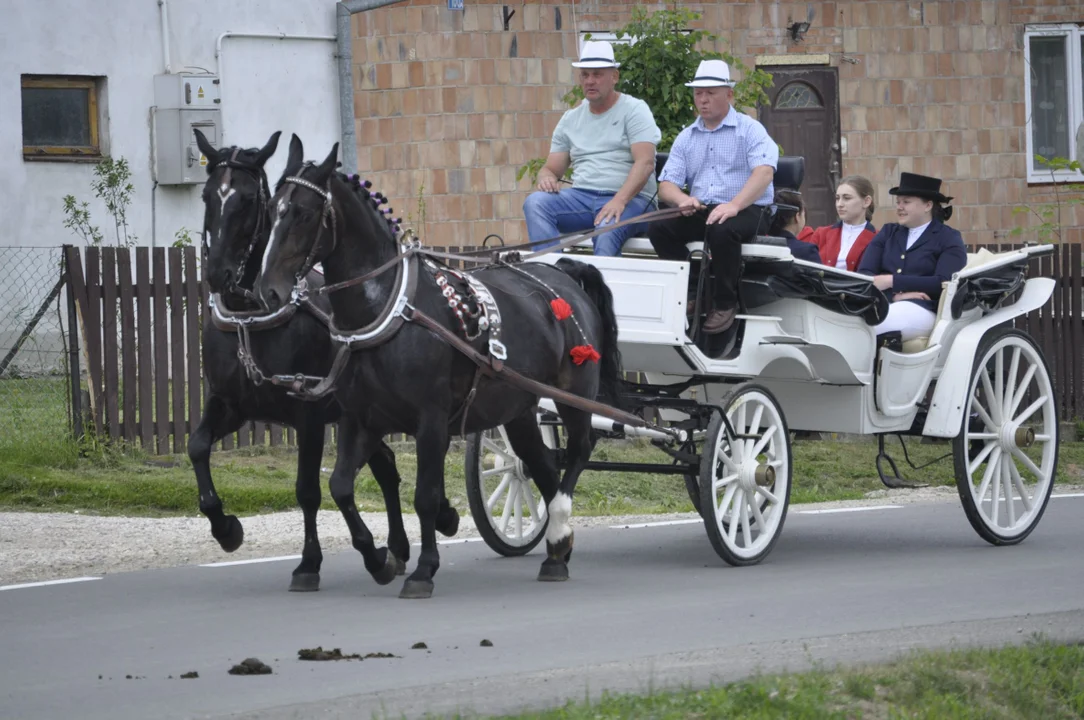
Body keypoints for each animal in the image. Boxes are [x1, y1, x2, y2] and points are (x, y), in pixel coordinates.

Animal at [187, 129, 457, 589]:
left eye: (246, 199)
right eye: (207, 195)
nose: (218, 275)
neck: (250, 317)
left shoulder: (309, 416)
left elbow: (307, 491)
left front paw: (310, 563)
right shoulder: (230, 405)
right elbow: (198, 446)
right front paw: (225, 528)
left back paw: (431, 523)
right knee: (387, 468)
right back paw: (402, 545)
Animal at [256, 137, 624, 598]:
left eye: (303, 212)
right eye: (272, 210)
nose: (268, 291)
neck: (390, 308)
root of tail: (564, 275)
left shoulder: (430, 421)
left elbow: (425, 497)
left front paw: (423, 570)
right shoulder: (361, 420)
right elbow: (340, 487)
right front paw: (379, 560)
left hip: (574, 395)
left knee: (577, 451)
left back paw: (558, 528)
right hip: (519, 408)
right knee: (538, 463)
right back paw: (557, 551)